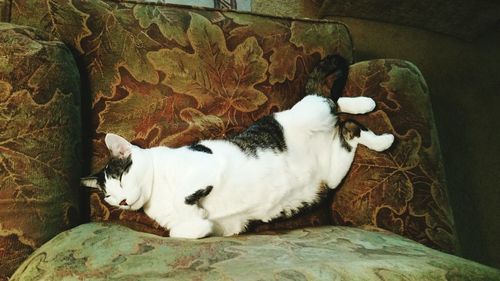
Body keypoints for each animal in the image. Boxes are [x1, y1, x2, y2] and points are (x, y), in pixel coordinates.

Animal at [81, 55, 394, 238]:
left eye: (122, 177)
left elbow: (186, 195)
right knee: (349, 129)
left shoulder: (204, 165)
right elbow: (183, 232)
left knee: (332, 102)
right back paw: (382, 140)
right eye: (108, 195)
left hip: (313, 113)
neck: (156, 191)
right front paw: (200, 220)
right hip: (333, 172)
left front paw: (196, 205)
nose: (121, 201)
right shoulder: (214, 227)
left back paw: (368, 106)